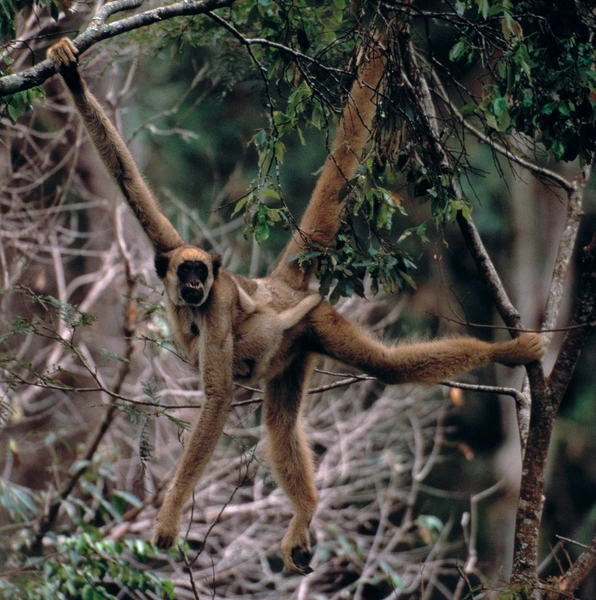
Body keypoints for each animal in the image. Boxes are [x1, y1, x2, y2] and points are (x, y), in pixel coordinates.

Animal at [47, 37, 544, 576]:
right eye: (186, 272)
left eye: (201, 274)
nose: (195, 281)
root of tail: (280, 284)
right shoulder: (169, 249)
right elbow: (125, 177)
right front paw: (71, 74)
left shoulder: (219, 300)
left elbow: (218, 395)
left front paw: (170, 513)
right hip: (296, 352)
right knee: (281, 425)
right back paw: (305, 511)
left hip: (315, 322)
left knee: (382, 367)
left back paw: (504, 353)